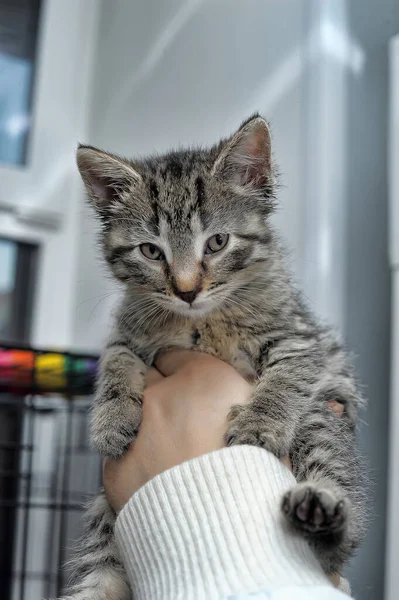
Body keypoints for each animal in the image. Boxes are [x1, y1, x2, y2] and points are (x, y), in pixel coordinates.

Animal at [61, 115, 366, 596]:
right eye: (151, 251)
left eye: (217, 242)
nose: (187, 290)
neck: (203, 320)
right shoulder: (127, 333)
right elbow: (117, 360)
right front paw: (110, 419)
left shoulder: (302, 338)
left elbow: (289, 374)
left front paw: (260, 421)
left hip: (321, 419)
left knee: (338, 528)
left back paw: (321, 511)